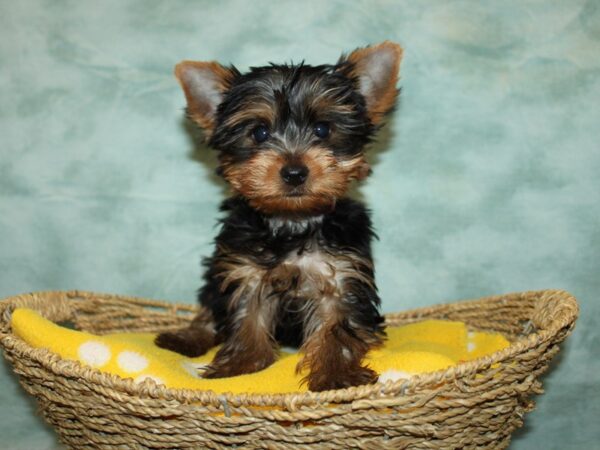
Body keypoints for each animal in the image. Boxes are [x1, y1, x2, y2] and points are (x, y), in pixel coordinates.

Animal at [157, 43, 406, 394]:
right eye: (259, 132)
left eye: (322, 129)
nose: (294, 172)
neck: (292, 222)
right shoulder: (245, 270)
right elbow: (246, 317)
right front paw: (240, 366)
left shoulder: (340, 276)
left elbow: (337, 328)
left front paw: (336, 374)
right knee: (208, 305)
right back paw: (186, 336)